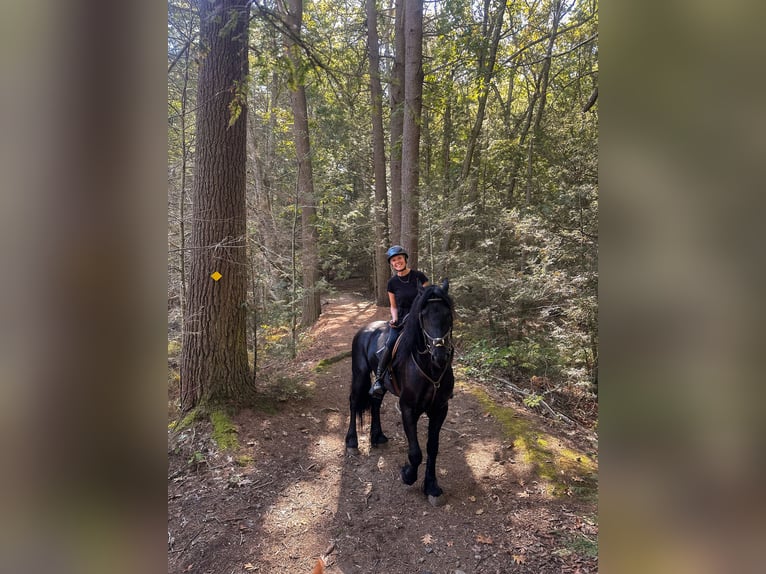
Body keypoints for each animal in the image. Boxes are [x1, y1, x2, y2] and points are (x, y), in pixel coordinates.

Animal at [345, 279, 455, 505]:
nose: (440, 356)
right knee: (353, 402)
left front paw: (432, 487)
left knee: (375, 401)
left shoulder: (440, 409)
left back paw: (377, 436)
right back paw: (352, 442)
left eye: (448, 314)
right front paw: (408, 475)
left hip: (382, 385)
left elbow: (432, 448)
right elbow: (415, 452)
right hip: (359, 374)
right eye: (423, 316)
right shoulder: (408, 408)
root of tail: (364, 329)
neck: (430, 368)